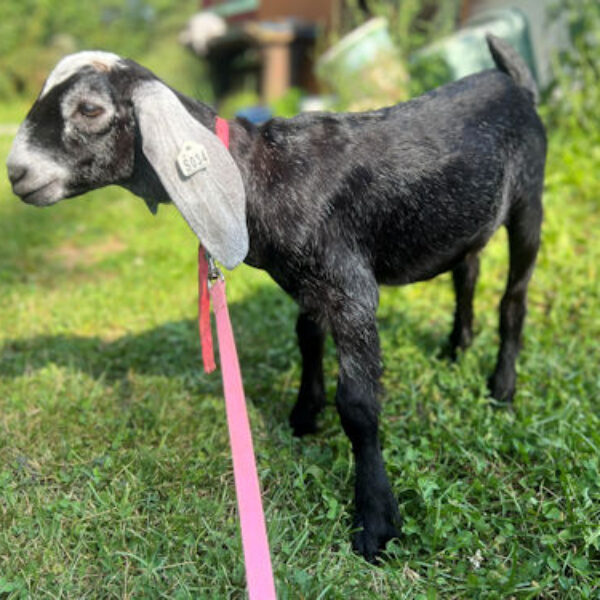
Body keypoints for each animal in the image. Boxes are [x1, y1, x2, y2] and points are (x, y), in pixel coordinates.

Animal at [5, 36, 548, 564]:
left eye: (90, 109)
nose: (16, 172)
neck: (258, 174)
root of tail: (513, 82)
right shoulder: (309, 283)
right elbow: (306, 337)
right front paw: (304, 415)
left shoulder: (352, 291)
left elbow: (358, 404)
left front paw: (376, 521)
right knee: (467, 270)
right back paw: (457, 346)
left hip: (529, 201)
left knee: (514, 299)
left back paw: (501, 386)